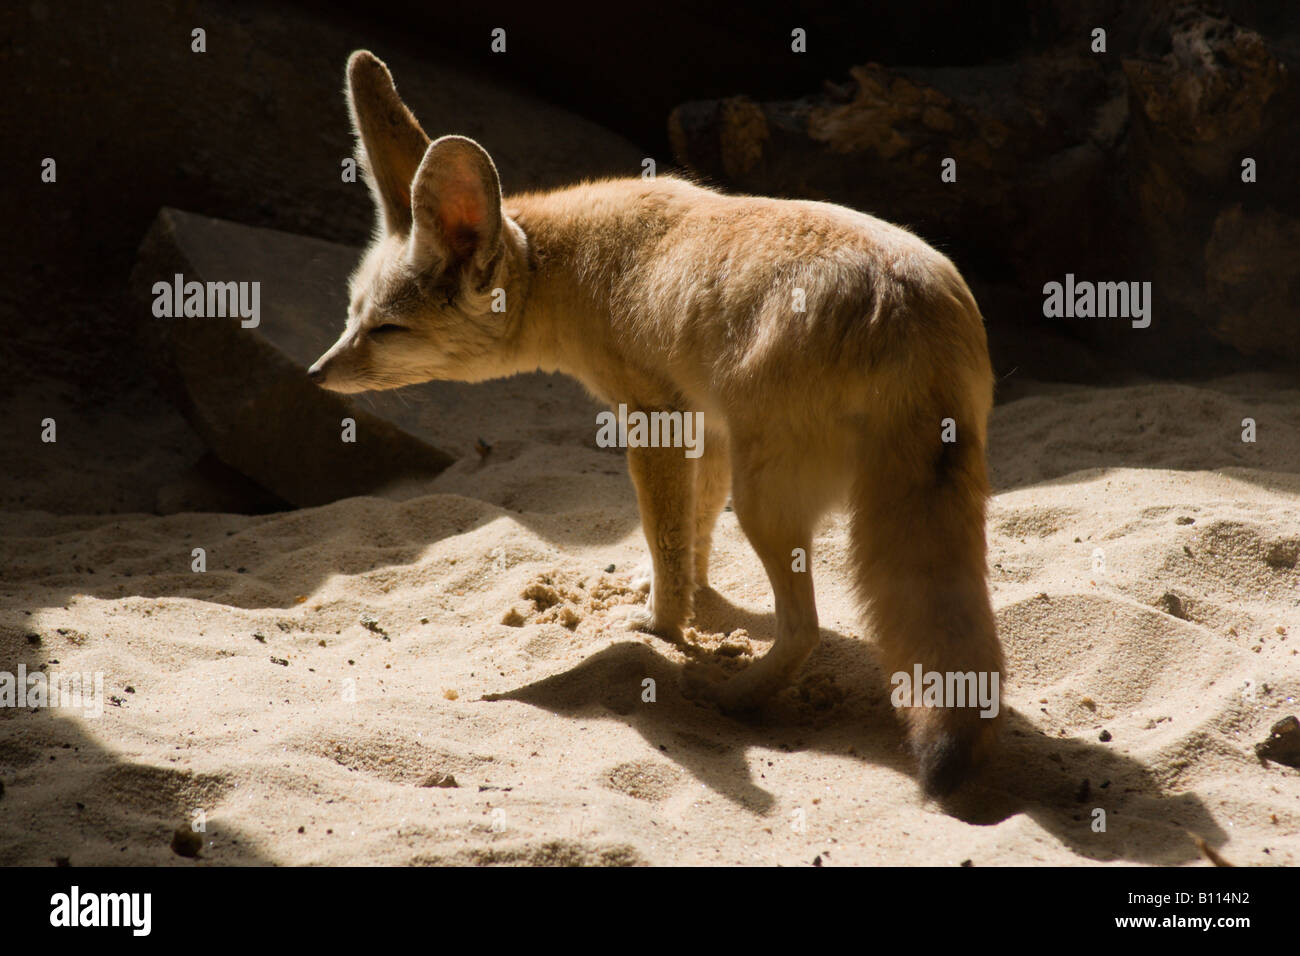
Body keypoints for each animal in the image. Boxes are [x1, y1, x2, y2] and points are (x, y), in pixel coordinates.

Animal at [309, 52, 998, 801]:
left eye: (386, 331)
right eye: (351, 314)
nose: (316, 374)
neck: (563, 268)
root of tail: (905, 303)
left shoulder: (653, 416)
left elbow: (664, 532)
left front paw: (662, 623)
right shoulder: (708, 422)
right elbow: (692, 532)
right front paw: (685, 598)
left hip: (766, 506)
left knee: (807, 630)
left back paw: (735, 698)